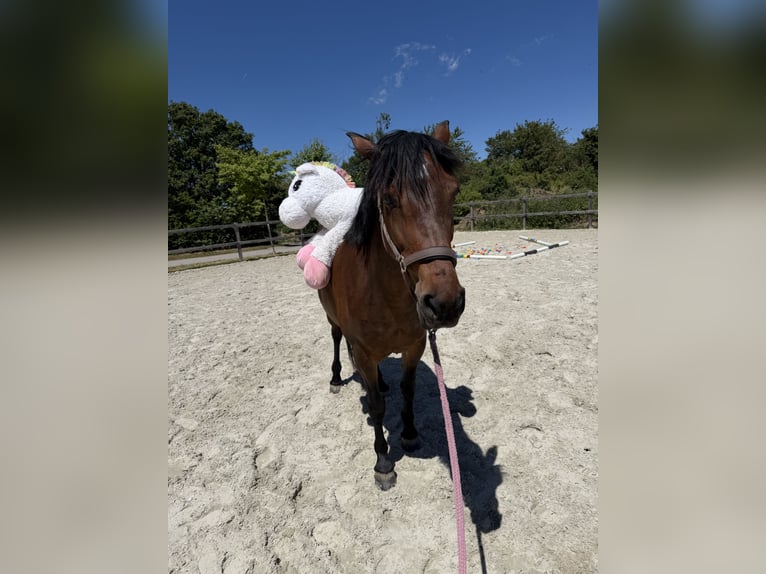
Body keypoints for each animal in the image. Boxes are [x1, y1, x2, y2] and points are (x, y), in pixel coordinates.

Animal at [318, 121, 466, 490]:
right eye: (388, 198)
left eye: (453, 192)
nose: (445, 303)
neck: (385, 297)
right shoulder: (364, 350)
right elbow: (377, 405)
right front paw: (383, 461)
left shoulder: (415, 346)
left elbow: (407, 390)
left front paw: (410, 434)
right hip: (332, 321)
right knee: (338, 341)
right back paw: (336, 378)